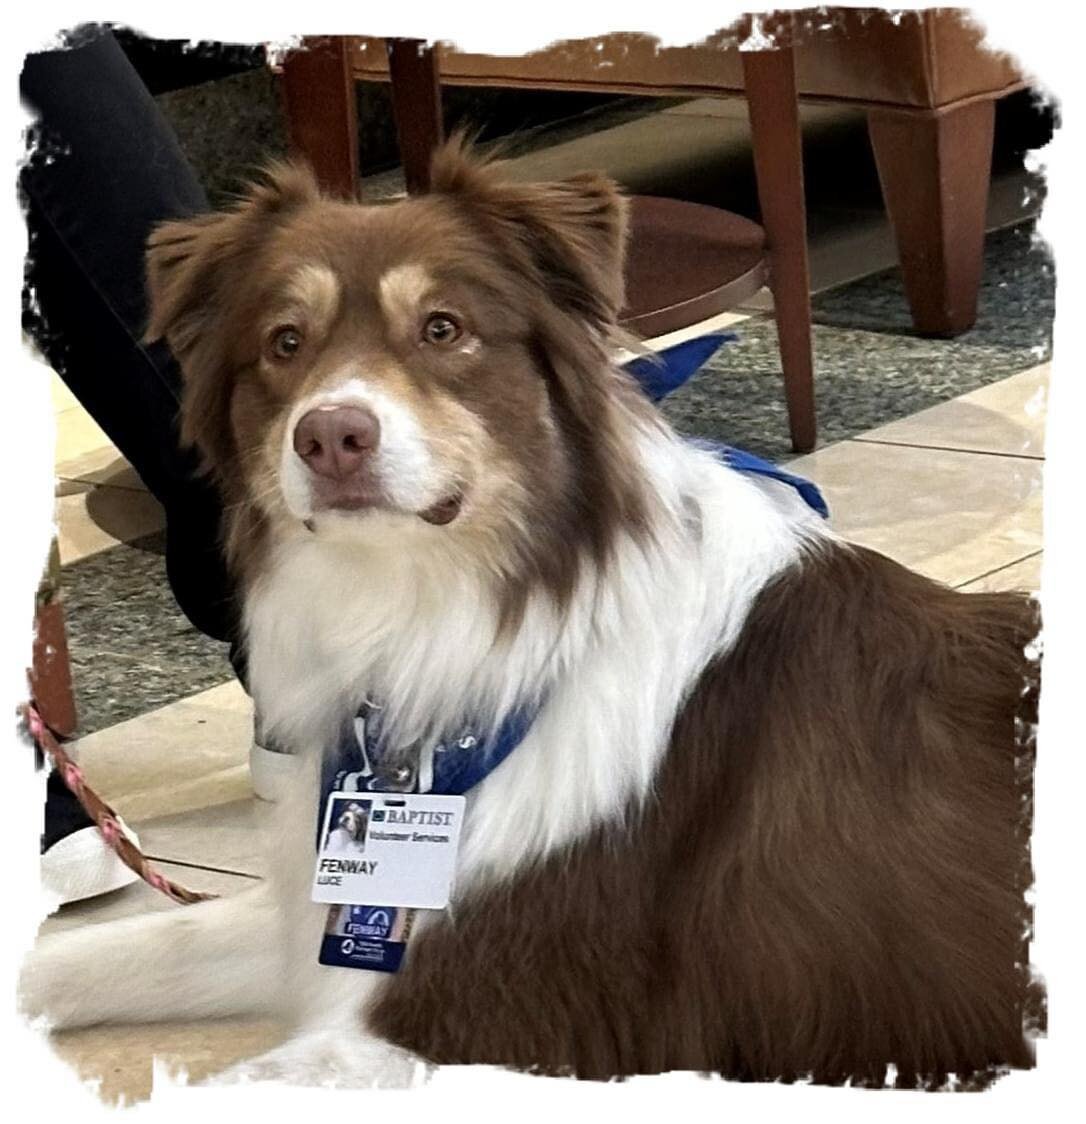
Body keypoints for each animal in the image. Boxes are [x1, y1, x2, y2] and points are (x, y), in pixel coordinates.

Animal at [23, 138, 1047, 1088]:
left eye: (443, 329)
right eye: (284, 342)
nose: (331, 436)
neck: (453, 626)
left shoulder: (486, 1014)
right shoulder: (321, 925)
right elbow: (101, 953)